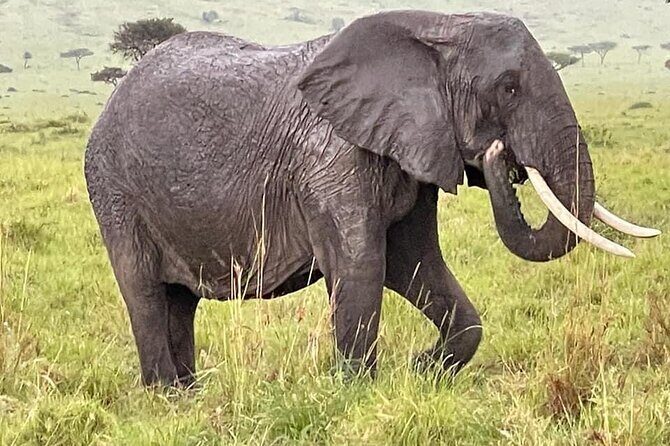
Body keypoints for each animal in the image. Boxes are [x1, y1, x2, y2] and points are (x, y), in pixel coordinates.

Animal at [84, 10, 659, 386]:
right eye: (509, 88)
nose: (501, 157)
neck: (437, 28)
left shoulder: (410, 153)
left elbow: (413, 263)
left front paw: (423, 372)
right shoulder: (331, 159)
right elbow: (362, 265)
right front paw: (357, 391)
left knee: (178, 301)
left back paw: (191, 395)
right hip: (114, 191)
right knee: (146, 294)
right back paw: (167, 397)